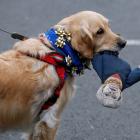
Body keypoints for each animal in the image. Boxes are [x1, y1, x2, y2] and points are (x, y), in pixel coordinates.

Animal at [0, 11, 126, 140]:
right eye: (100, 31)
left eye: (108, 26)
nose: (124, 42)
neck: (60, 52)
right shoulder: (49, 119)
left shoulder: (35, 123)